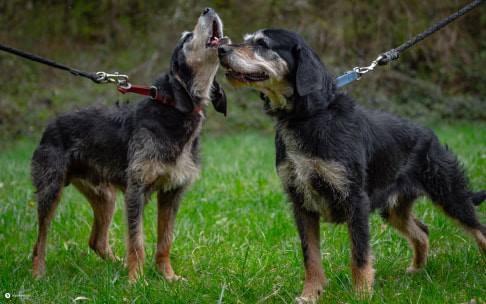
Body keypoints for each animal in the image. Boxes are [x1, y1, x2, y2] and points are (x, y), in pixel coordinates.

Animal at [31, 7, 231, 282]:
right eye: (187, 37)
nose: (207, 9)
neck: (173, 111)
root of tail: (50, 125)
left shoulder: (172, 193)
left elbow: (165, 240)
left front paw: (167, 276)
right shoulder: (137, 190)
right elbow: (136, 240)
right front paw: (136, 281)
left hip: (105, 196)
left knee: (96, 241)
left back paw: (117, 265)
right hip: (50, 190)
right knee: (40, 239)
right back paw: (38, 274)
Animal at [217, 27, 486, 302]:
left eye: (262, 44)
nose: (221, 49)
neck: (309, 117)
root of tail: (430, 136)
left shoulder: (355, 200)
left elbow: (359, 254)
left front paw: (361, 294)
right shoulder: (301, 203)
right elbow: (310, 257)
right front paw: (310, 294)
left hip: (449, 194)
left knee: (478, 229)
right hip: (393, 208)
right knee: (422, 230)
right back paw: (417, 270)